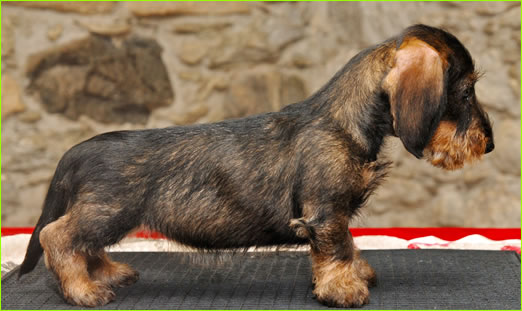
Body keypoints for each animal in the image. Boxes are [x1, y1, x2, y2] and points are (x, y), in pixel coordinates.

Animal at [20, 24, 492, 308]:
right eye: (465, 91)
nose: (488, 145)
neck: (343, 121)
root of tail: (78, 150)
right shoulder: (326, 213)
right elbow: (339, 249)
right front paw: (343, 288)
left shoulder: (334, 214)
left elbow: (351, 246)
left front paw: (356, 275)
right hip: (107, 211)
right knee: (57, 237)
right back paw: (83, 289)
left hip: (104, 216)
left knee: (85, 245)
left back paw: (109, 273)